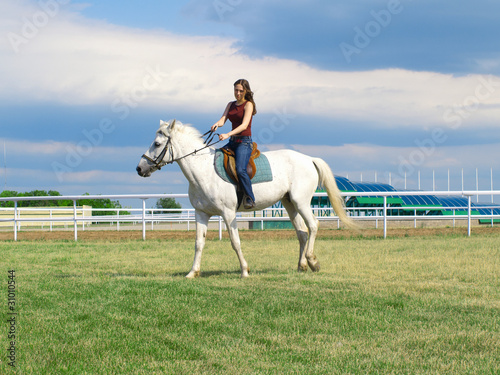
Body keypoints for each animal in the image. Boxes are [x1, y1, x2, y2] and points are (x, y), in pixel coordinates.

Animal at [137, 120, 356, 280]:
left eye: (157, 144)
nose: (139, 168)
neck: (203, 171)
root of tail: (309, 159)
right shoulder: (201, 214)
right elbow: (199, 243)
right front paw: (192, 272)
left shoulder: (228, 213)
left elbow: (235, 242)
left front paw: (244, 270)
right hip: (289, 204)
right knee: (302, 233)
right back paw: (301, 266)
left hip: (301, 202)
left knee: (313, 226)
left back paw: (312, 261)